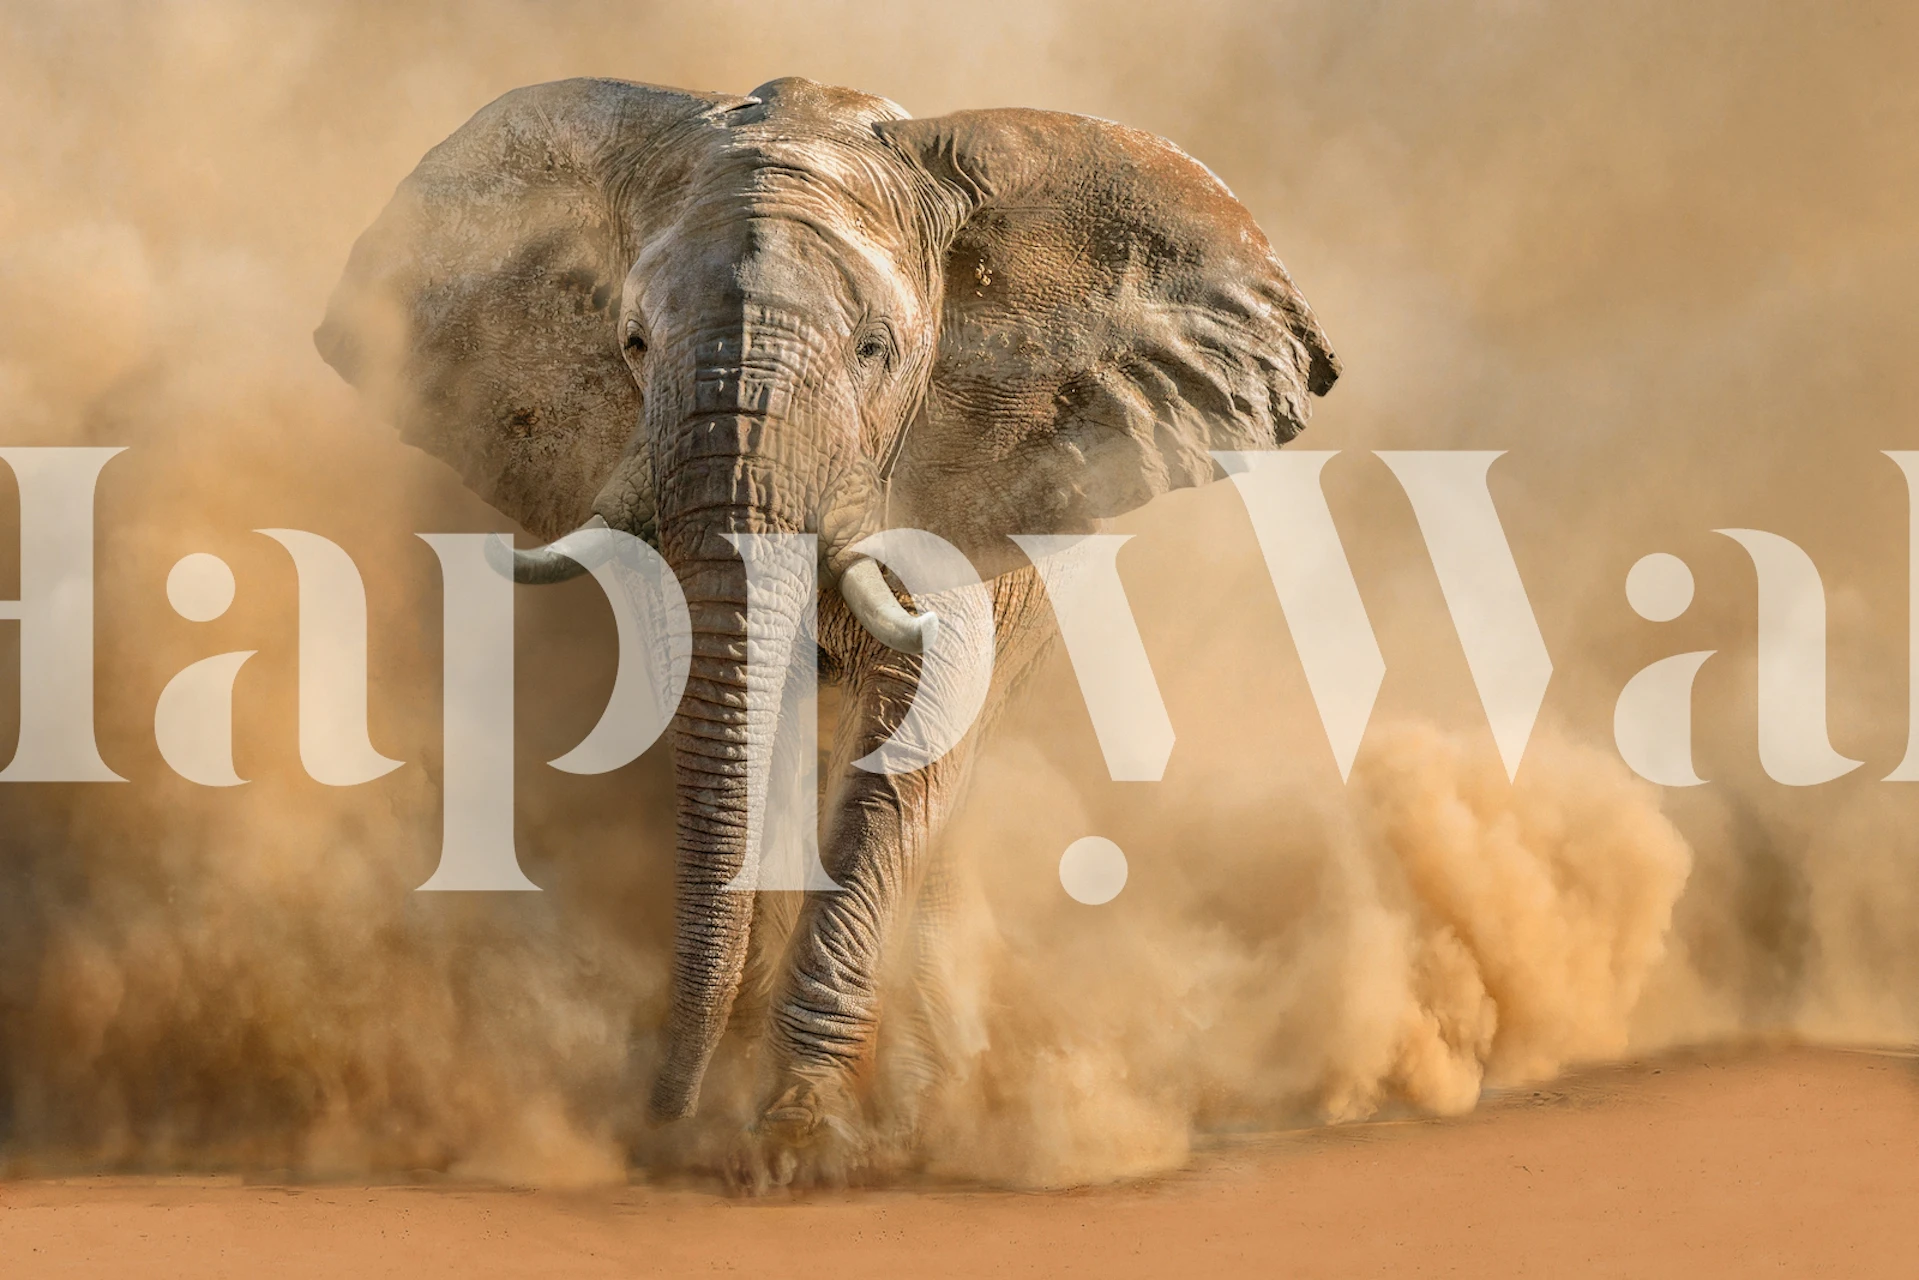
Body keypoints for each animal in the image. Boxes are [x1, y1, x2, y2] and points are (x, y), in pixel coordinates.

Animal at [314, 75, 1338, 1189]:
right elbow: (746, 727)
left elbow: (910, 736)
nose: (654, 1118)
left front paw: (794, 1143)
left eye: (872, 351)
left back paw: (928, 1107)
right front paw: (732, 1121)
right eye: (632, 343)